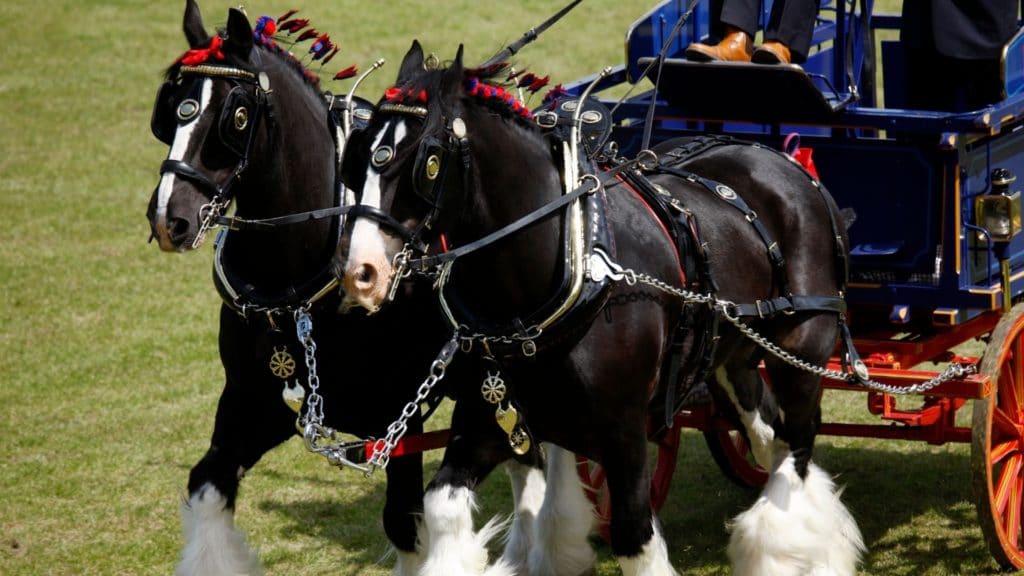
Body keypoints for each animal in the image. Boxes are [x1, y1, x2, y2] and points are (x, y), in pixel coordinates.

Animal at [145, 5, 552, 573]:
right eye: (169, 111)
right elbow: (206, 486)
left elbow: (404, 522)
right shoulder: (257, 402)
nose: (169, 218)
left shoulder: (398, 420)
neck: (297, 283)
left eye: (236, 116)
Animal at [335, 42, 864, 569]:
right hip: (728, 360)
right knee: (770, 432)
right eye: (356, 158)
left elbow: (634, 534)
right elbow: (442, 507)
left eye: (427, 160)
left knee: (798, 442)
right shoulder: (490, 416)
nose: (361, 273)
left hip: (802, 348)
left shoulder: (624, 431)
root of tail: (784, 159)